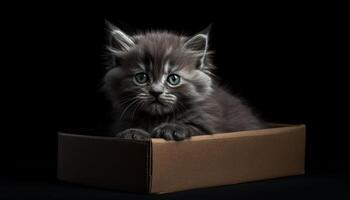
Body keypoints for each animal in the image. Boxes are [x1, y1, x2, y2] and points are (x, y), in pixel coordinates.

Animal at [102, 22, 264, 141]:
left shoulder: (212, 124)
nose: (156, 92)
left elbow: (194, 127)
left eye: (173, 79)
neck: (158, 118)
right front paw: (133, 132)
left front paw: (171, 128)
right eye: (141, 78)